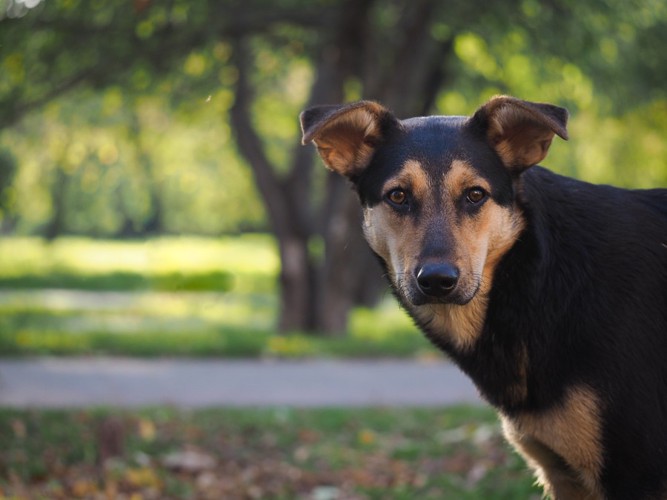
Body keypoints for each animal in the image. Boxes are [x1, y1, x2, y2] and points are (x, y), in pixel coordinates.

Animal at [302, 95, 667, 498]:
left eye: (475, 194)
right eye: (398, 196)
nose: (437, 280)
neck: (534, 279)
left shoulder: (635, 474)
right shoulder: (564, 474)